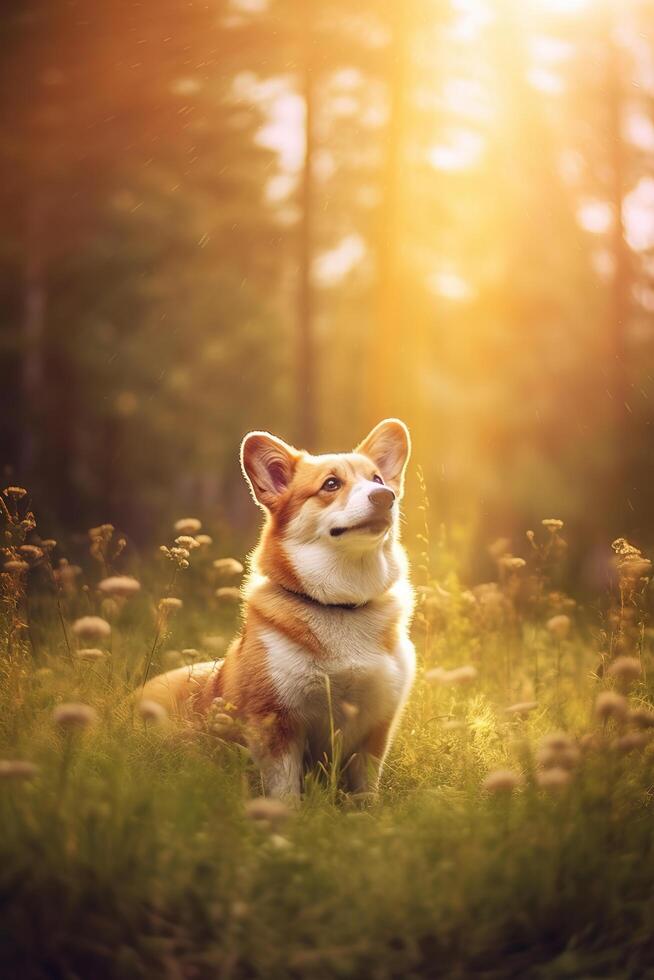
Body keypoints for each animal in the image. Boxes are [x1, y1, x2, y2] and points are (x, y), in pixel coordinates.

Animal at [144, 420, 420, 796]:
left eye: (377, 479)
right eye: (331, 484)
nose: (385, 497)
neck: (342, 603)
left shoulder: (376, 727)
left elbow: (366, 789)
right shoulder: (276, 723)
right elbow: (284, 791)